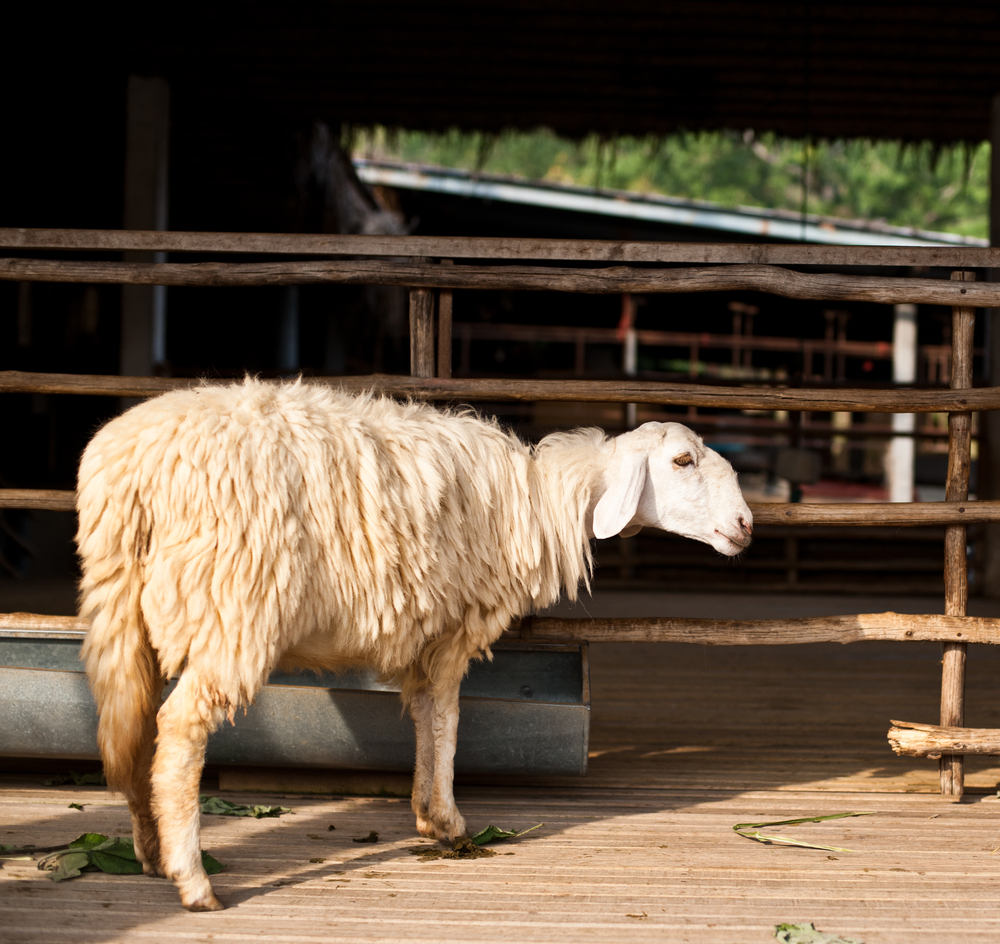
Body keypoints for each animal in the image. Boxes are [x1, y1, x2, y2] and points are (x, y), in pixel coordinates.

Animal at [76, 376, 752, 908]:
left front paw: (428, 814)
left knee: (130, 728)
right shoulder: (457, 626)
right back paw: (193, 881)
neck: (538, 499)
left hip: (123, 610)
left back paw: (148, 849)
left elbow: (427, 715)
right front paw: (450, 821)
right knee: (180, 730)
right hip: (235, 608)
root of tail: (131, 469)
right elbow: (449, 719)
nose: (747, 525)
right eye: (683, 462)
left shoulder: (429, 634)